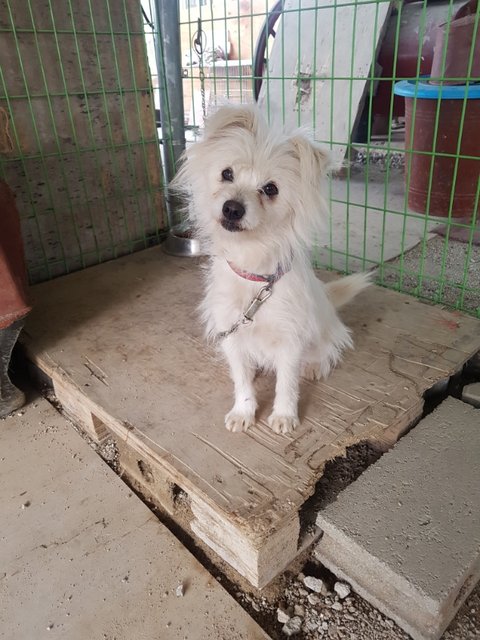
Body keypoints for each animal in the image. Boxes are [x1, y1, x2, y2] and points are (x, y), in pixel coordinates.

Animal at [173, 104, 370, 435]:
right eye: (227, 174)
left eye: (270, 189)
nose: (232, 208)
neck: (253, 271)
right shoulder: (232, 333)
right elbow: (242, 382)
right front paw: (243, 411)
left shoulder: (290, 340)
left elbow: (287, 384)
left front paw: (284, 415)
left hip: (325, 331)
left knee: (329, 347)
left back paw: (314, 365)